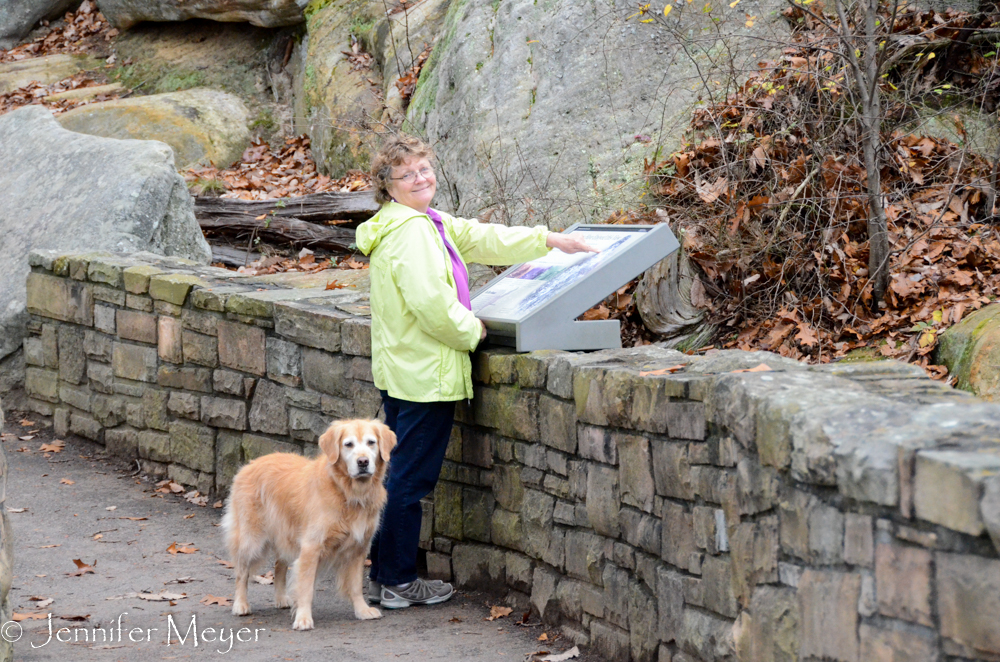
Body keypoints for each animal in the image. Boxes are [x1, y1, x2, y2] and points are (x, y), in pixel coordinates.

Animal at [225, 418, 396, 632]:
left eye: (371, 442)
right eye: (348, 444)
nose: (363, 462)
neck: (347, 492)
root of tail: (249, 464)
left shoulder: (359, 549)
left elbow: (356, 586)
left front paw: (362, 610)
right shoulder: (311, 547)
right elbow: (305, 588)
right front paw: (303, 618)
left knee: (279, 566)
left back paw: (281, 598)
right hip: (251, 539)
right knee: (241, 571)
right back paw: (240, 604)